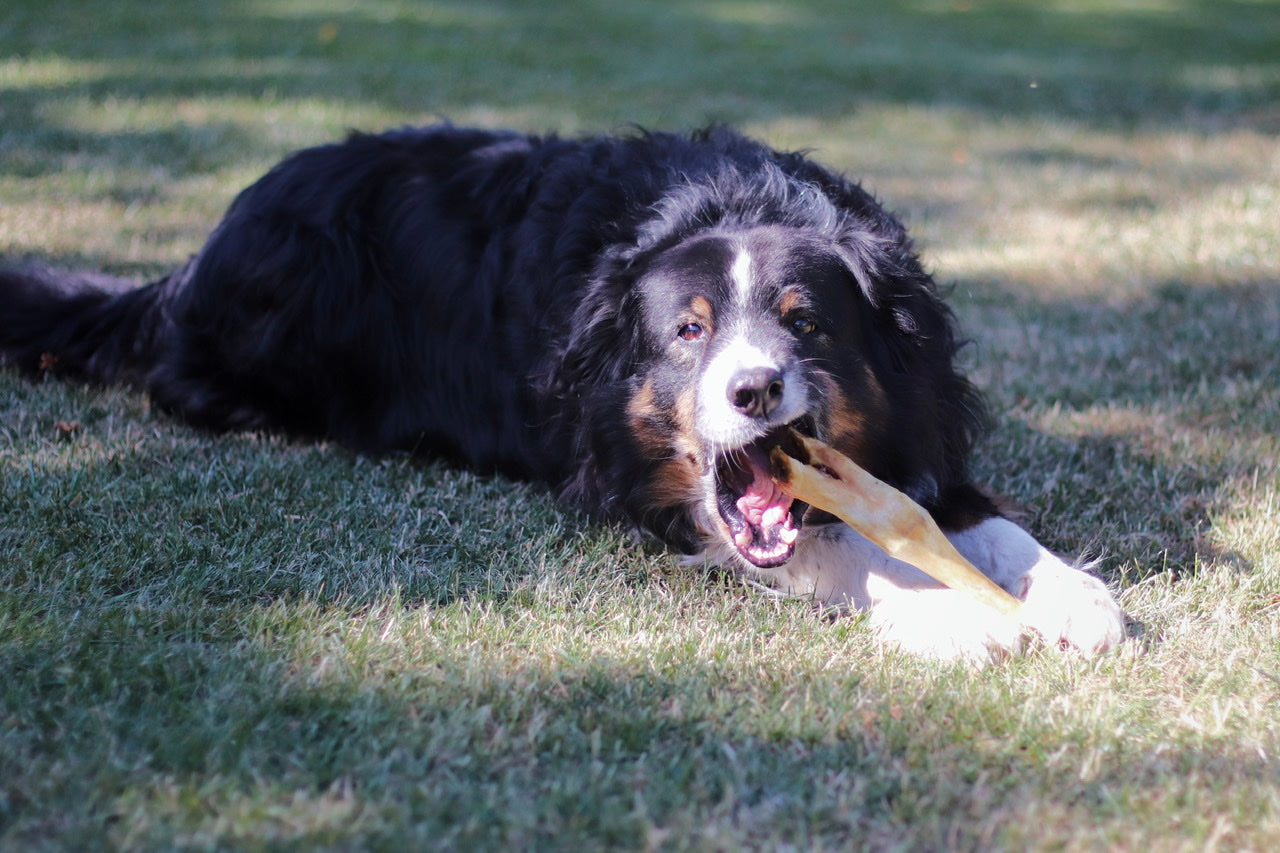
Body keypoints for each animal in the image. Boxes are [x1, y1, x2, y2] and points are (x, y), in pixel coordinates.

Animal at [0, 124, 1121, 655]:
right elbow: (841, 552)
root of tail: (199, 255)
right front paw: (961, 618)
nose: (755, 391)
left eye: (805, 323)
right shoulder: (628, 482)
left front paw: (1073, 596)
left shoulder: (920, 425)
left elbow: (982, 522)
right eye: (687, 332)